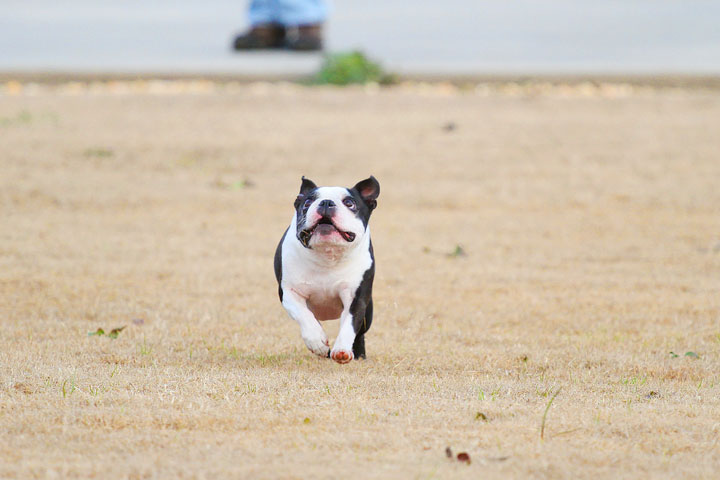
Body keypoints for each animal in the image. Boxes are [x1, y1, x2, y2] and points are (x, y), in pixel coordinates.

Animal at [272, 177, 380, 364]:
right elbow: (304, 315)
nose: (326, 203)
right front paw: (317, 342)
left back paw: (359, 355)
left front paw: (342, 350)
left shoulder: (356, 298)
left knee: (360, 333)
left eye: (349, 203)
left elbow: (349, 325)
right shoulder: (289, 292)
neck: (327, 255)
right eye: (308, 202)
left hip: (369, 312)